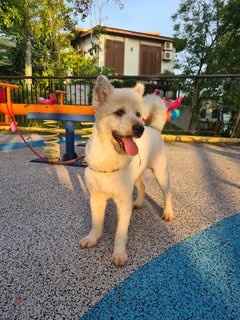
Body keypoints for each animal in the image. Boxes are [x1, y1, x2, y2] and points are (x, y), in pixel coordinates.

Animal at [79, 75, 173, 264]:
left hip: (161, 174)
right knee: (142, 186)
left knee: (167, 193)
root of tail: (154, 129)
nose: (139, 128)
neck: (109, 160)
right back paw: (138, 202)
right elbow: (96, 223)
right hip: (136, 176)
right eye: (119, 112)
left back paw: (168, 212)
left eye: (138, 114)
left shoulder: (123, 203)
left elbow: (120, 233)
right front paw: (93, 238)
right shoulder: (96, 199)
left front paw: (119, 254)